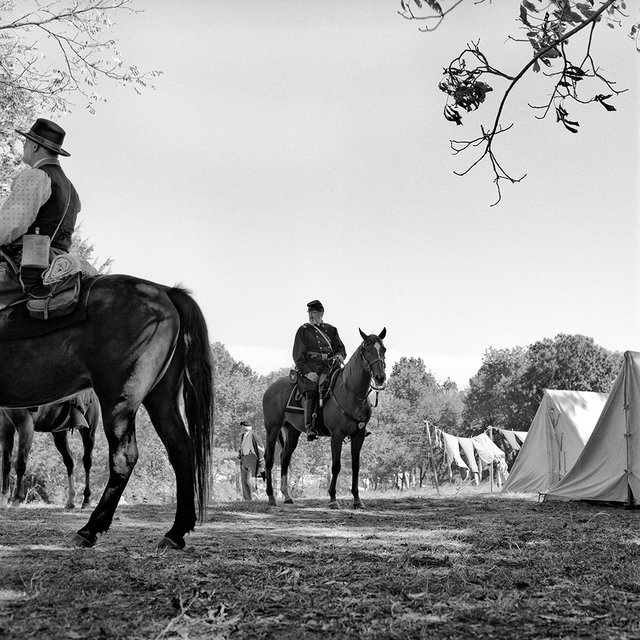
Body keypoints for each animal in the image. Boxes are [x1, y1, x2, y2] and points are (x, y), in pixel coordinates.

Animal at [0, 276, 214, 552]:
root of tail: (166, 291)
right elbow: (6, 461)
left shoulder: (24, 422)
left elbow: (18, 461)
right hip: (161, 400)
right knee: (180, 449)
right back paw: (175, 532)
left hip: (118, 402)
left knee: (121, 458)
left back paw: (89, 529)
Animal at [262, 328, 384, 508]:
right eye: (367, 350)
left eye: (383, 350)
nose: (380, 377)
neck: (351, 393)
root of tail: (270, 388)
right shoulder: (337, 435)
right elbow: (336, 466)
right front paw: (333, 498)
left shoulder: (359, 435)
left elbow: (356, 466)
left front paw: (357, 499)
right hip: (272, 428)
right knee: (269, 459)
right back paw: (271, 497)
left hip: (292, 432)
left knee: (284, 458)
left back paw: (287, 496)